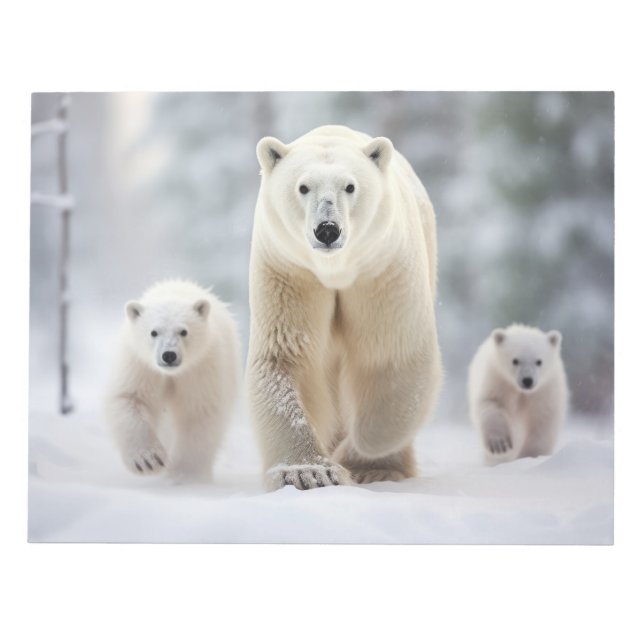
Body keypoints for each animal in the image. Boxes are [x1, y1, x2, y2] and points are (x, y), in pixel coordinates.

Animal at [105, 279, 241, 483]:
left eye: (183, 331)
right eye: (153, 332)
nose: (169, 355)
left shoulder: (201, 369)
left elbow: (198, 415)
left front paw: (186, 475)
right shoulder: (140, 365)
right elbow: (129, 398)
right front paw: (148, 460)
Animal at [246, 125, 442, 490]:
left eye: (350, 186)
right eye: (303, 186)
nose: (327, 229)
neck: (335, 270)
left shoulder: (382, 270)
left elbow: (391, 357)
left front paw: (358, 459)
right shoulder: (289, 272)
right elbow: (286, 357)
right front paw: (309, 471)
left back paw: (385, 469)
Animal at [467, 324, 569, 465]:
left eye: (539, 361)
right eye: (515, 361)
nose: (527, 380)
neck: (522, 393)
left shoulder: (545, 390)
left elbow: (543, 421)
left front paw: (529, 456)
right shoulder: (497, 378)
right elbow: (490, 402)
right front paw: (499, 444)